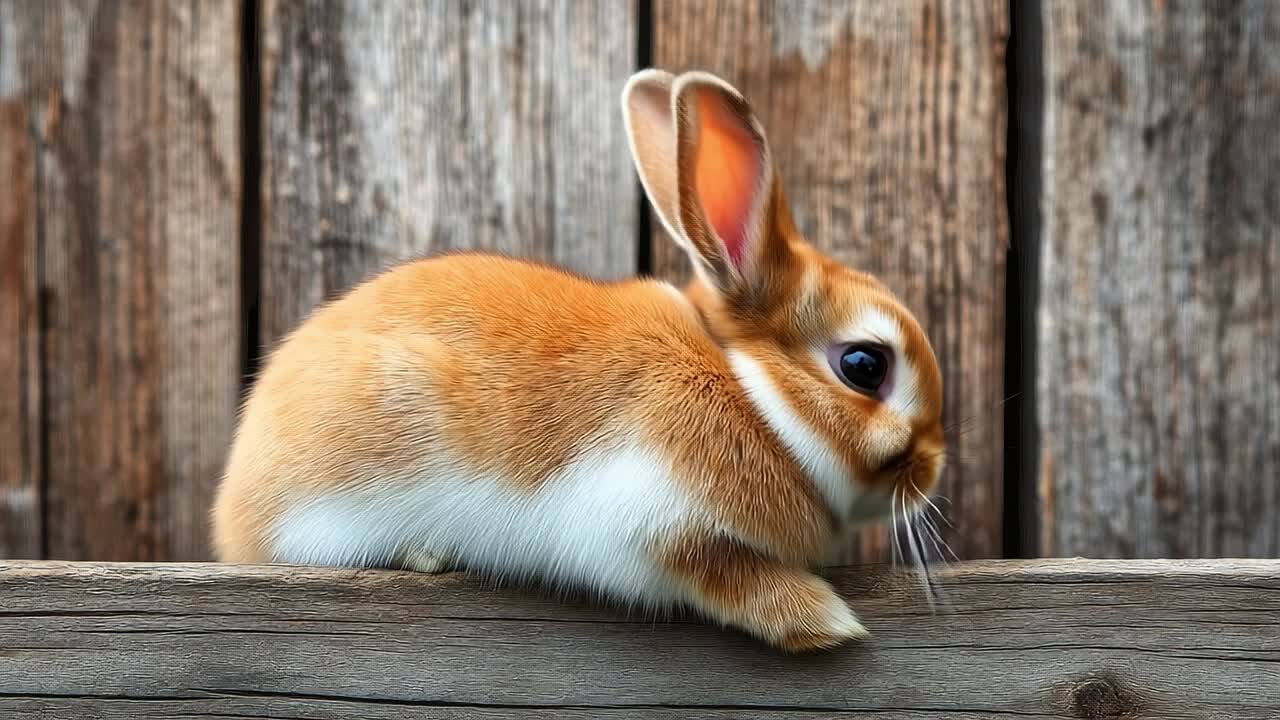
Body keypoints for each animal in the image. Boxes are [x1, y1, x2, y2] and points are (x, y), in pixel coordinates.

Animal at [211, 69, 946, 653]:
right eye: (865, 365)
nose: (934, 466)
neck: (753, 391)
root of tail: (233, 511)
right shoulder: (650, 524)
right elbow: (722, 575)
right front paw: (826, 622)